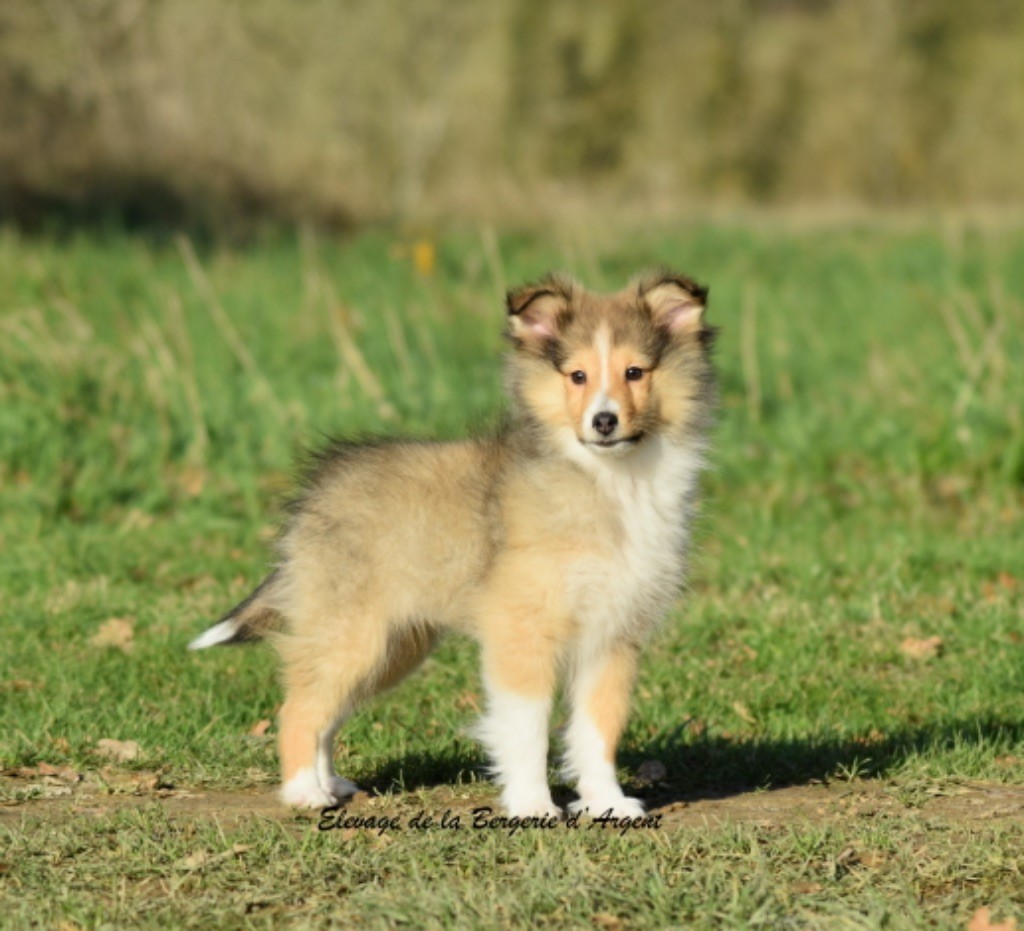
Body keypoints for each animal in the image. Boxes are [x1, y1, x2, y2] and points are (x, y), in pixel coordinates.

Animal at [193, 268, 720, 815]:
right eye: (577, 376)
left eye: (635, 372)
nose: (604, 422)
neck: (610, 479)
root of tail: (316, 491)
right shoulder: (523, 630)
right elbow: (528, 729)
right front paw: (533, 806)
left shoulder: (612, 638)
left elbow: (599, 729)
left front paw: (607, 804)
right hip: (352, 634)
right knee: (300, 706)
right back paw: (304, 793)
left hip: (392, 646)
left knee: (327, 710)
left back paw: (330, 784)